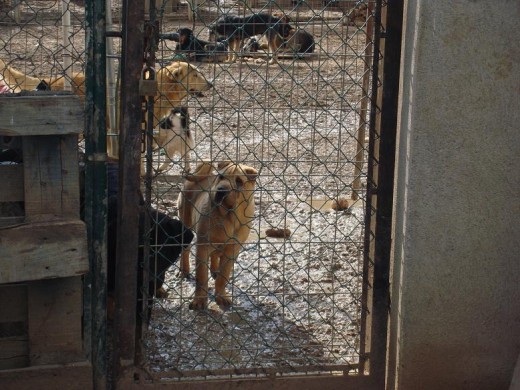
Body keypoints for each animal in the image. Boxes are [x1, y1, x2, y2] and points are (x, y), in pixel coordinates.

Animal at [178, 160, 258, 310]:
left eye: (239, 181)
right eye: (221, 177)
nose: (221, 190)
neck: (228, 217)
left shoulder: (232, 250)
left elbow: (223, 276)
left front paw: (221, 296)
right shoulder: (203, 247)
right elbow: (201, 276)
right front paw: (199, 300)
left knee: (215, 256)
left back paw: (214, 270)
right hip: (185, 224)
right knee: (185, 251)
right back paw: (184, 270)